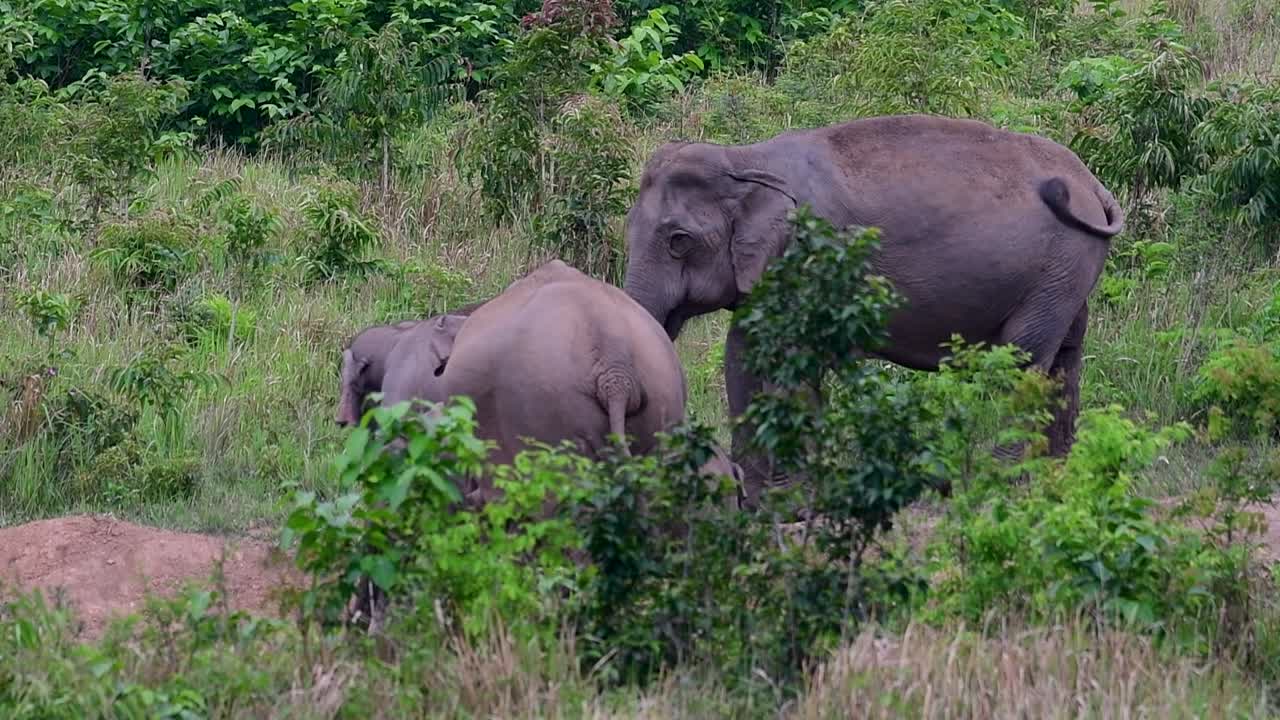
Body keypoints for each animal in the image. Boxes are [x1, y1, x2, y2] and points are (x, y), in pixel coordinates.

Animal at [621, 114, 1125, 508]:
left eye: (678, 241)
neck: (744, 160)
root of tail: (1091, 183)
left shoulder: (813, 258)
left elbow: (791, 366)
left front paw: (793, 503)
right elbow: (741, 357)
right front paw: (754, 501)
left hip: (1058, 265)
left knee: (1022, 362)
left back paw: (1000, 485)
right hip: (1068, 272)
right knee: (1065, 358)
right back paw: (1058, 482)